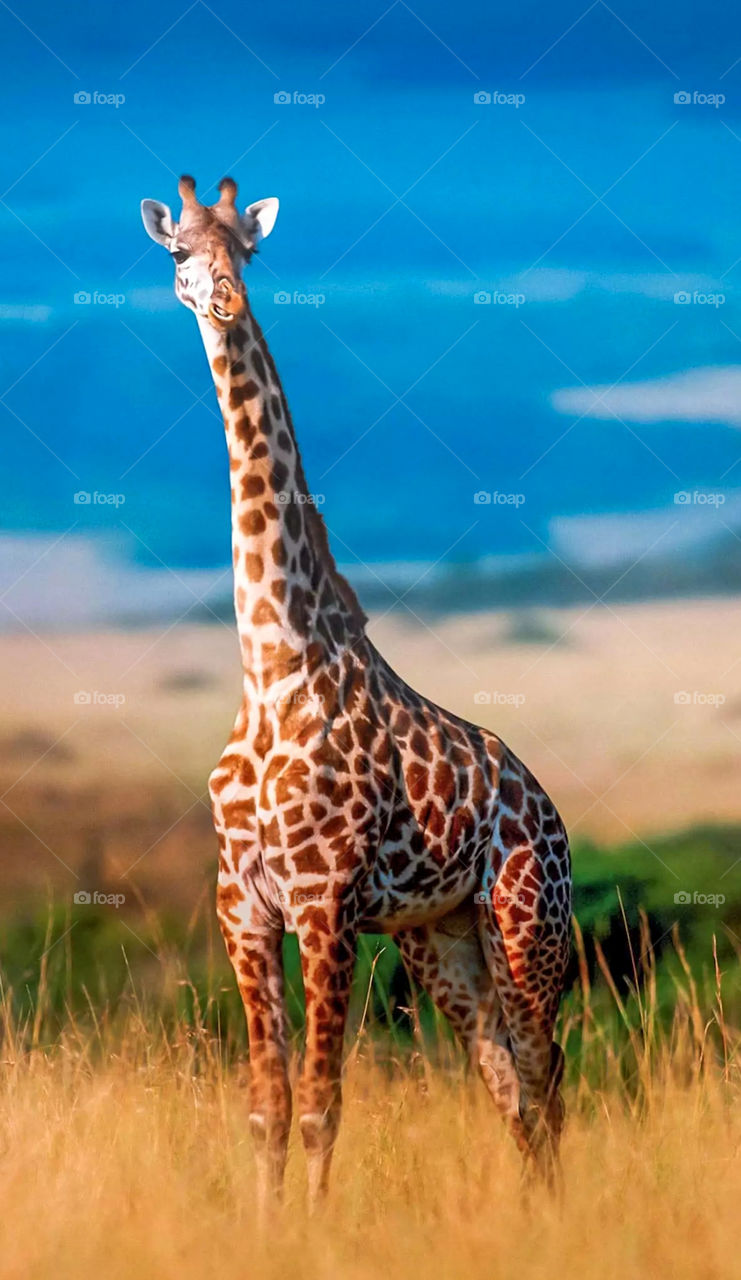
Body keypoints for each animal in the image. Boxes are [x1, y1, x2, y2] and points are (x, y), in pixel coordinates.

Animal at [141, 175, 572, 1211]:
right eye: (178, 251)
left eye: (247, 251)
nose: (223, 299)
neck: (272, 664)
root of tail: (549, 811)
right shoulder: (244, 904)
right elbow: (264, 1108)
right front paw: (266, 1228)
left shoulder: (324, 901)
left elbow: (321, 1105)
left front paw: (315, 1228)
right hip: (440, 939)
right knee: (509, 1083)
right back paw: (535, 1217)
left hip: (525, 920)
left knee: (547, 1074)